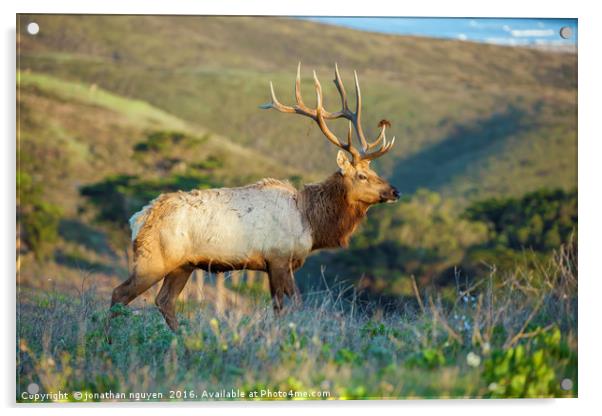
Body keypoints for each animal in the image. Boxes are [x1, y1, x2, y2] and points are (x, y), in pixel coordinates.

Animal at [110, 64, 398, 332]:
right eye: (362, 175)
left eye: (373, 172)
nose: (395, 191)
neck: (312, 223)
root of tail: (138, 218)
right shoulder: (279, 257)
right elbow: (291, 305)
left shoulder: (272, 265)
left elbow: (279, 307)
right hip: (152, 259)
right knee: (119, 294)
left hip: (183, 265)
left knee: (164, 301)